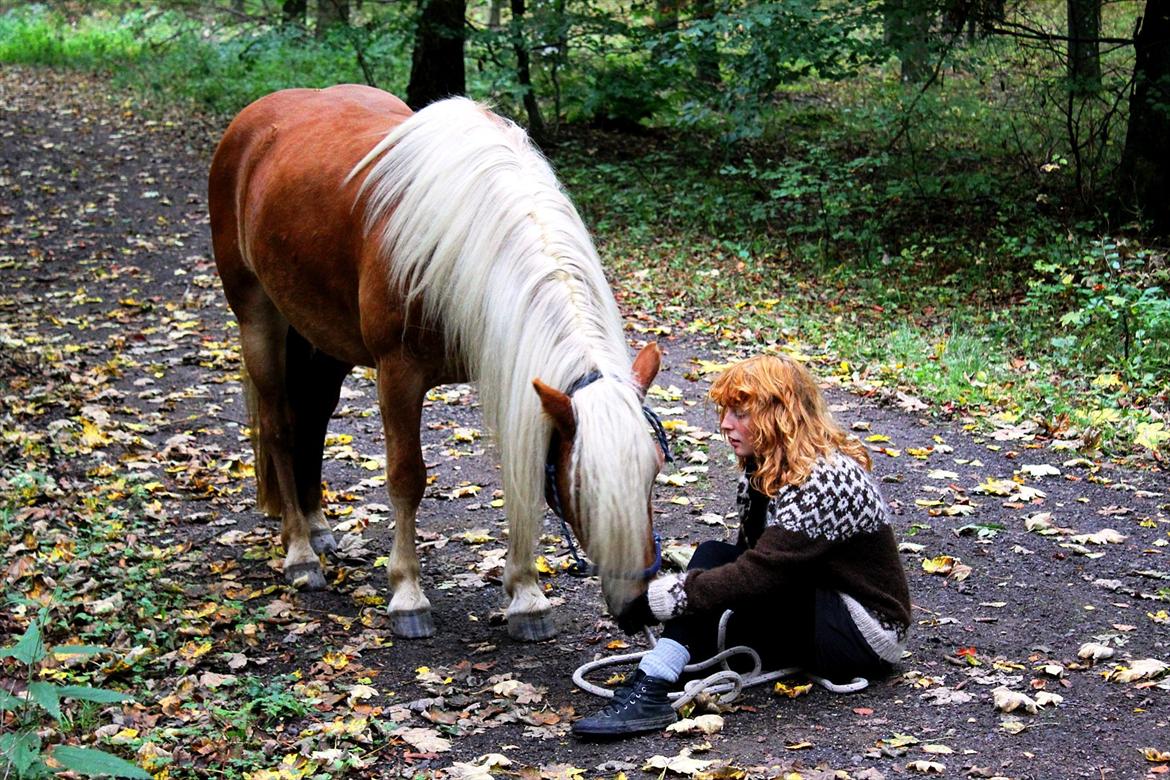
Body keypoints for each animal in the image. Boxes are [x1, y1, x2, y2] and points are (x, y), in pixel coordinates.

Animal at [208, 88, 669, 645]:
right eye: (582, 485)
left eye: (653, 473)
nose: (638, 608)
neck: (467, 232)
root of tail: (254, 120)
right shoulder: (398, 375)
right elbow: (407, 478)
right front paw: (408, 594)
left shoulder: (510, 374)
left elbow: (519, 479)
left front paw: (527, 597)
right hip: (259, 318)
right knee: (278, 427)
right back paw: (300, 552)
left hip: (322, 339)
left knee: (311, 419)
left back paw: (317, 528)